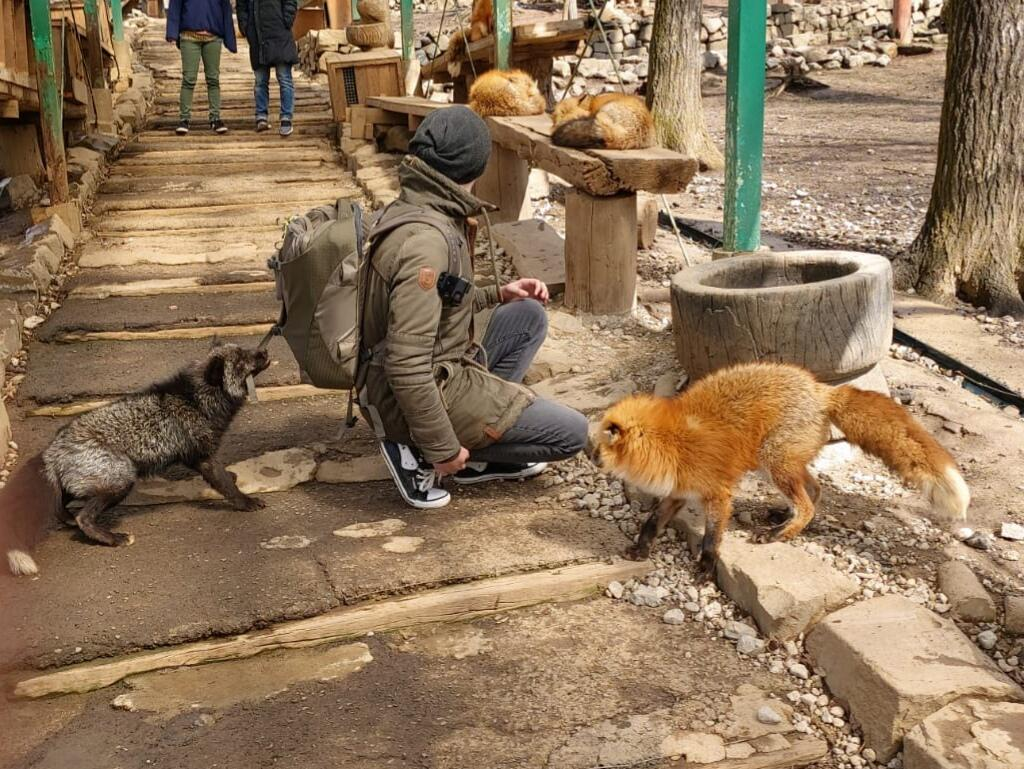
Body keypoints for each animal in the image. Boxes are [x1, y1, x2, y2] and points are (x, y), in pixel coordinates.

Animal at [593, 364, 966, 573]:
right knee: (815, 492)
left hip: (774, 459)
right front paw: (641, 549)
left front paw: (707, 565)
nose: (589, 456)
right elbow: (652, 522)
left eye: (598, 445)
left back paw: (780, 533)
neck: (671, 441)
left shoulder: (717, 494)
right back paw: (783, 519)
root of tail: (821, 390)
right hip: (777, 462)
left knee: (808, 505)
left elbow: (713, 536)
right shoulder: (680, 491)